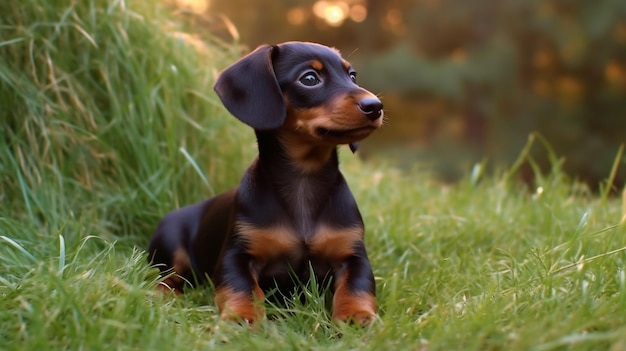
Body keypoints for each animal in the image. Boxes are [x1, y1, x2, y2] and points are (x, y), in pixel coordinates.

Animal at [147, 42, 380, 328]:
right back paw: (165, 294)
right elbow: (241, 286)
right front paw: (243, 316)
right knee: (163, 276)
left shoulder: (353, 254)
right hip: (170, 245)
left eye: (352, 76)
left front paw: (356, 316)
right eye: (309, 79)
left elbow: (356, 286)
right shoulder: (236, 254)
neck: (304, 178)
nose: (376, 106)